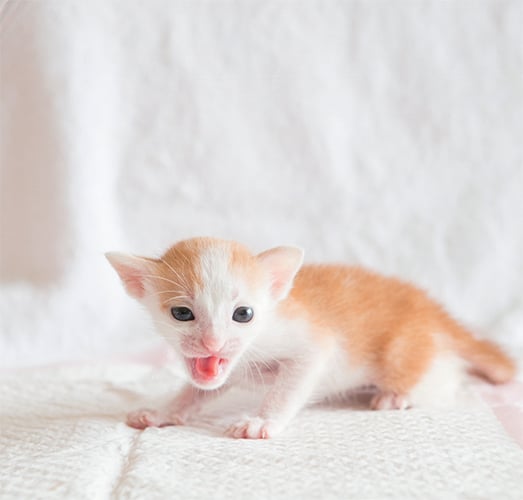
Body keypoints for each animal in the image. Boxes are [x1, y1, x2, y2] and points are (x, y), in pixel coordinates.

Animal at [106, 237, 516, 439]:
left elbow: (291, 385)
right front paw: (163, 411)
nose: (211, 342)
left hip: (405, 352)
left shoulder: (312, 343)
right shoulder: (223, 372)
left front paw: (263, 421)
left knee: (443, 378)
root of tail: (431, 307)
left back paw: (397, 395)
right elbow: (195, 391)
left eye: (243, 314)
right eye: (182, 314)